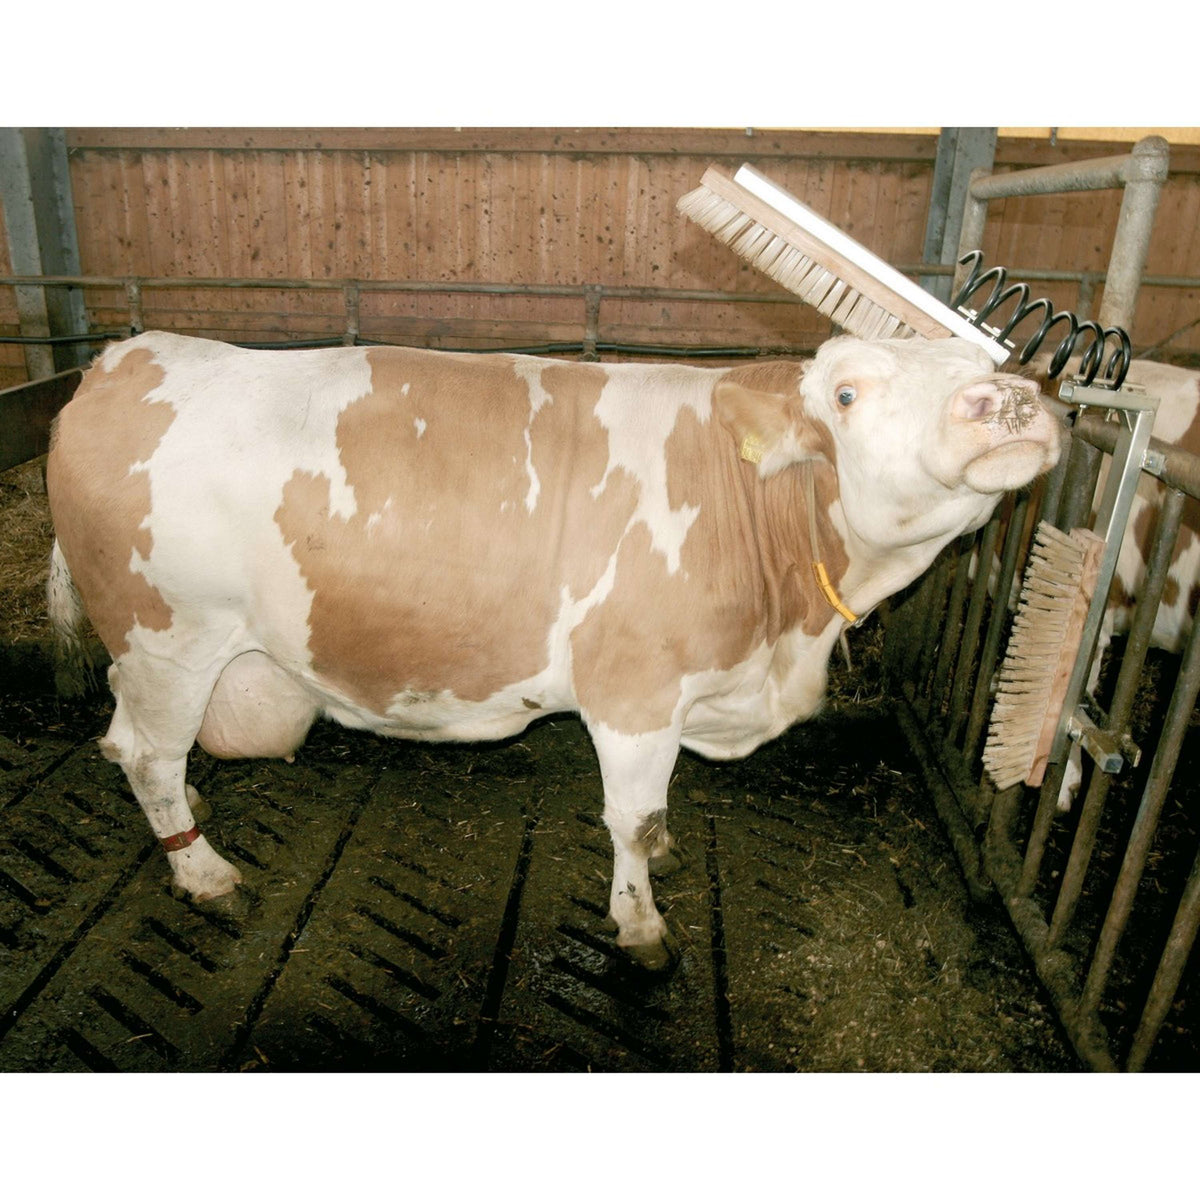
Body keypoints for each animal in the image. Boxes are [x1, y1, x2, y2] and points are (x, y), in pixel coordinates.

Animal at [45, 330, 1060, 969]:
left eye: (992, 361)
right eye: (847, 393)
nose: (1009, 401)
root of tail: (127, 356)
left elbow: (659, 816)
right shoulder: (634, 690)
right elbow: (632, 822)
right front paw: (641, 928)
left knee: (138, 745)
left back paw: (194, 813)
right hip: (170, 636)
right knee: (144, 752)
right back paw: (205, 872)